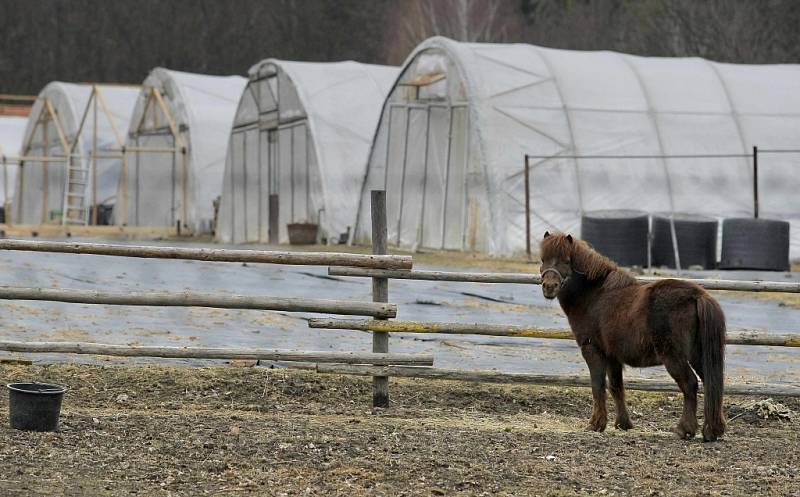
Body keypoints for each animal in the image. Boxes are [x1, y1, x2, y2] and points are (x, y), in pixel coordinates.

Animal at [536, 231, 724, 440]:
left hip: (674, 357)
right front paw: (622, 424)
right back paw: (712, 430)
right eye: (543, 259)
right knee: (711, 383)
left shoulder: (592, 349)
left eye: (567, 260)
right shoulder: (612, 356)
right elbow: (616, 387)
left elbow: (597, 386)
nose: (549, 286)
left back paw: (685, 429)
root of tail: (697, 296)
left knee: (690, 384)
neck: (594, 295)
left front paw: (596, 424)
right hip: (699, 355)